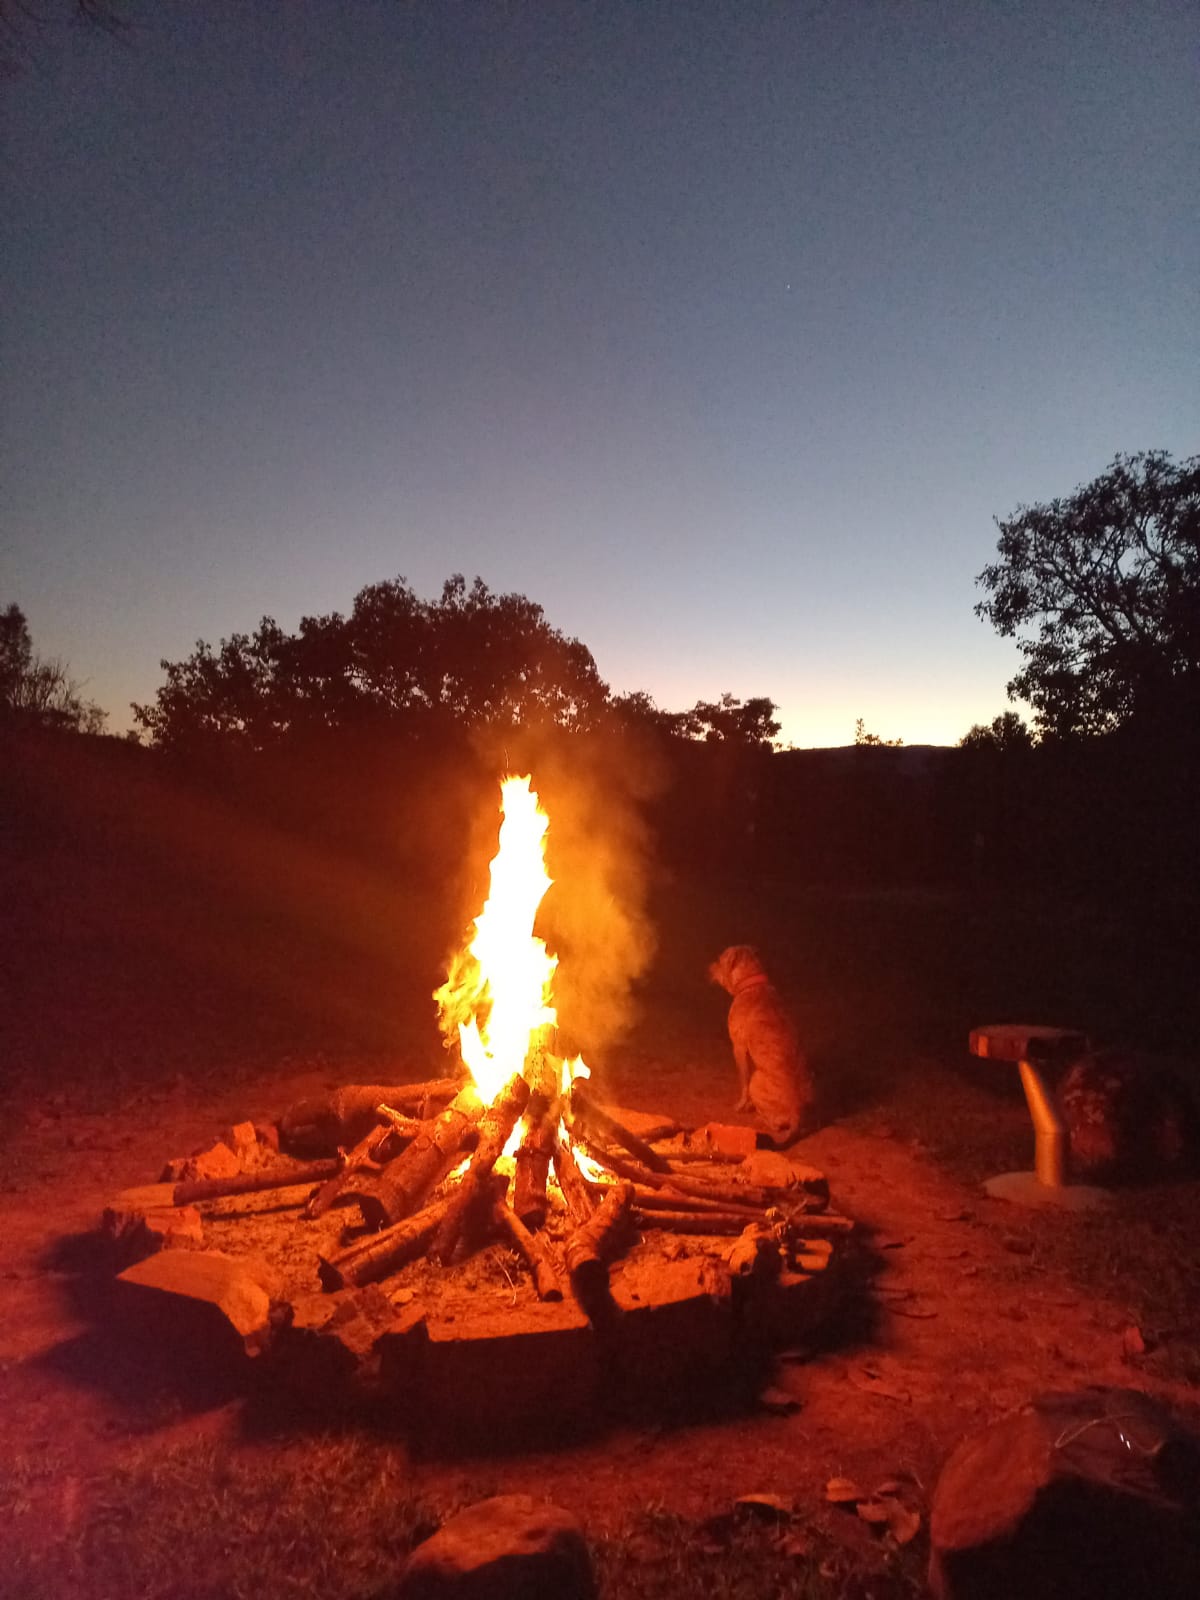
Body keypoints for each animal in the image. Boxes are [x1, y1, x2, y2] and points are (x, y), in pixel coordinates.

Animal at [710, 940, 812, 1145]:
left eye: (720, 958)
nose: (709, 966)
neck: (752, 983)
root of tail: (797, 1112)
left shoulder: (738, 1048)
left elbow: (743, 1081)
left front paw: (742, 1105)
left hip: (756, 1080)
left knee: (775, 1123)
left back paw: (760, 1116)